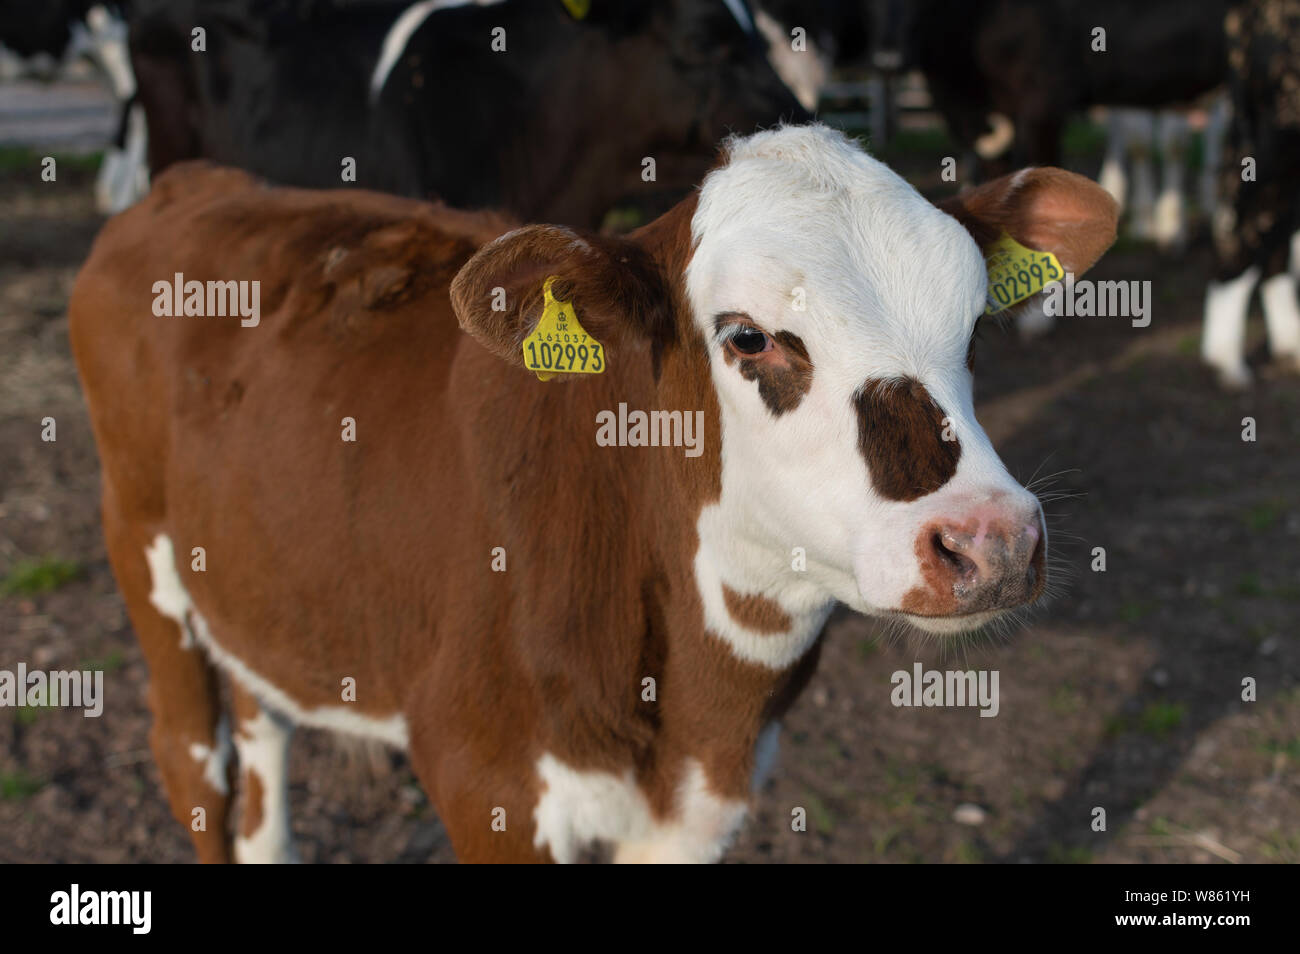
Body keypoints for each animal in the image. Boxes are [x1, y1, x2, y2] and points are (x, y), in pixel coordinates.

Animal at [65, 123, 1112, 863]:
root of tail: (196, 183)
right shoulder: (484, 781)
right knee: (194, 763)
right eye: (747, 337)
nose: (990, 540)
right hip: (139, 552)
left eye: (973, 325)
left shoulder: (707, 799)